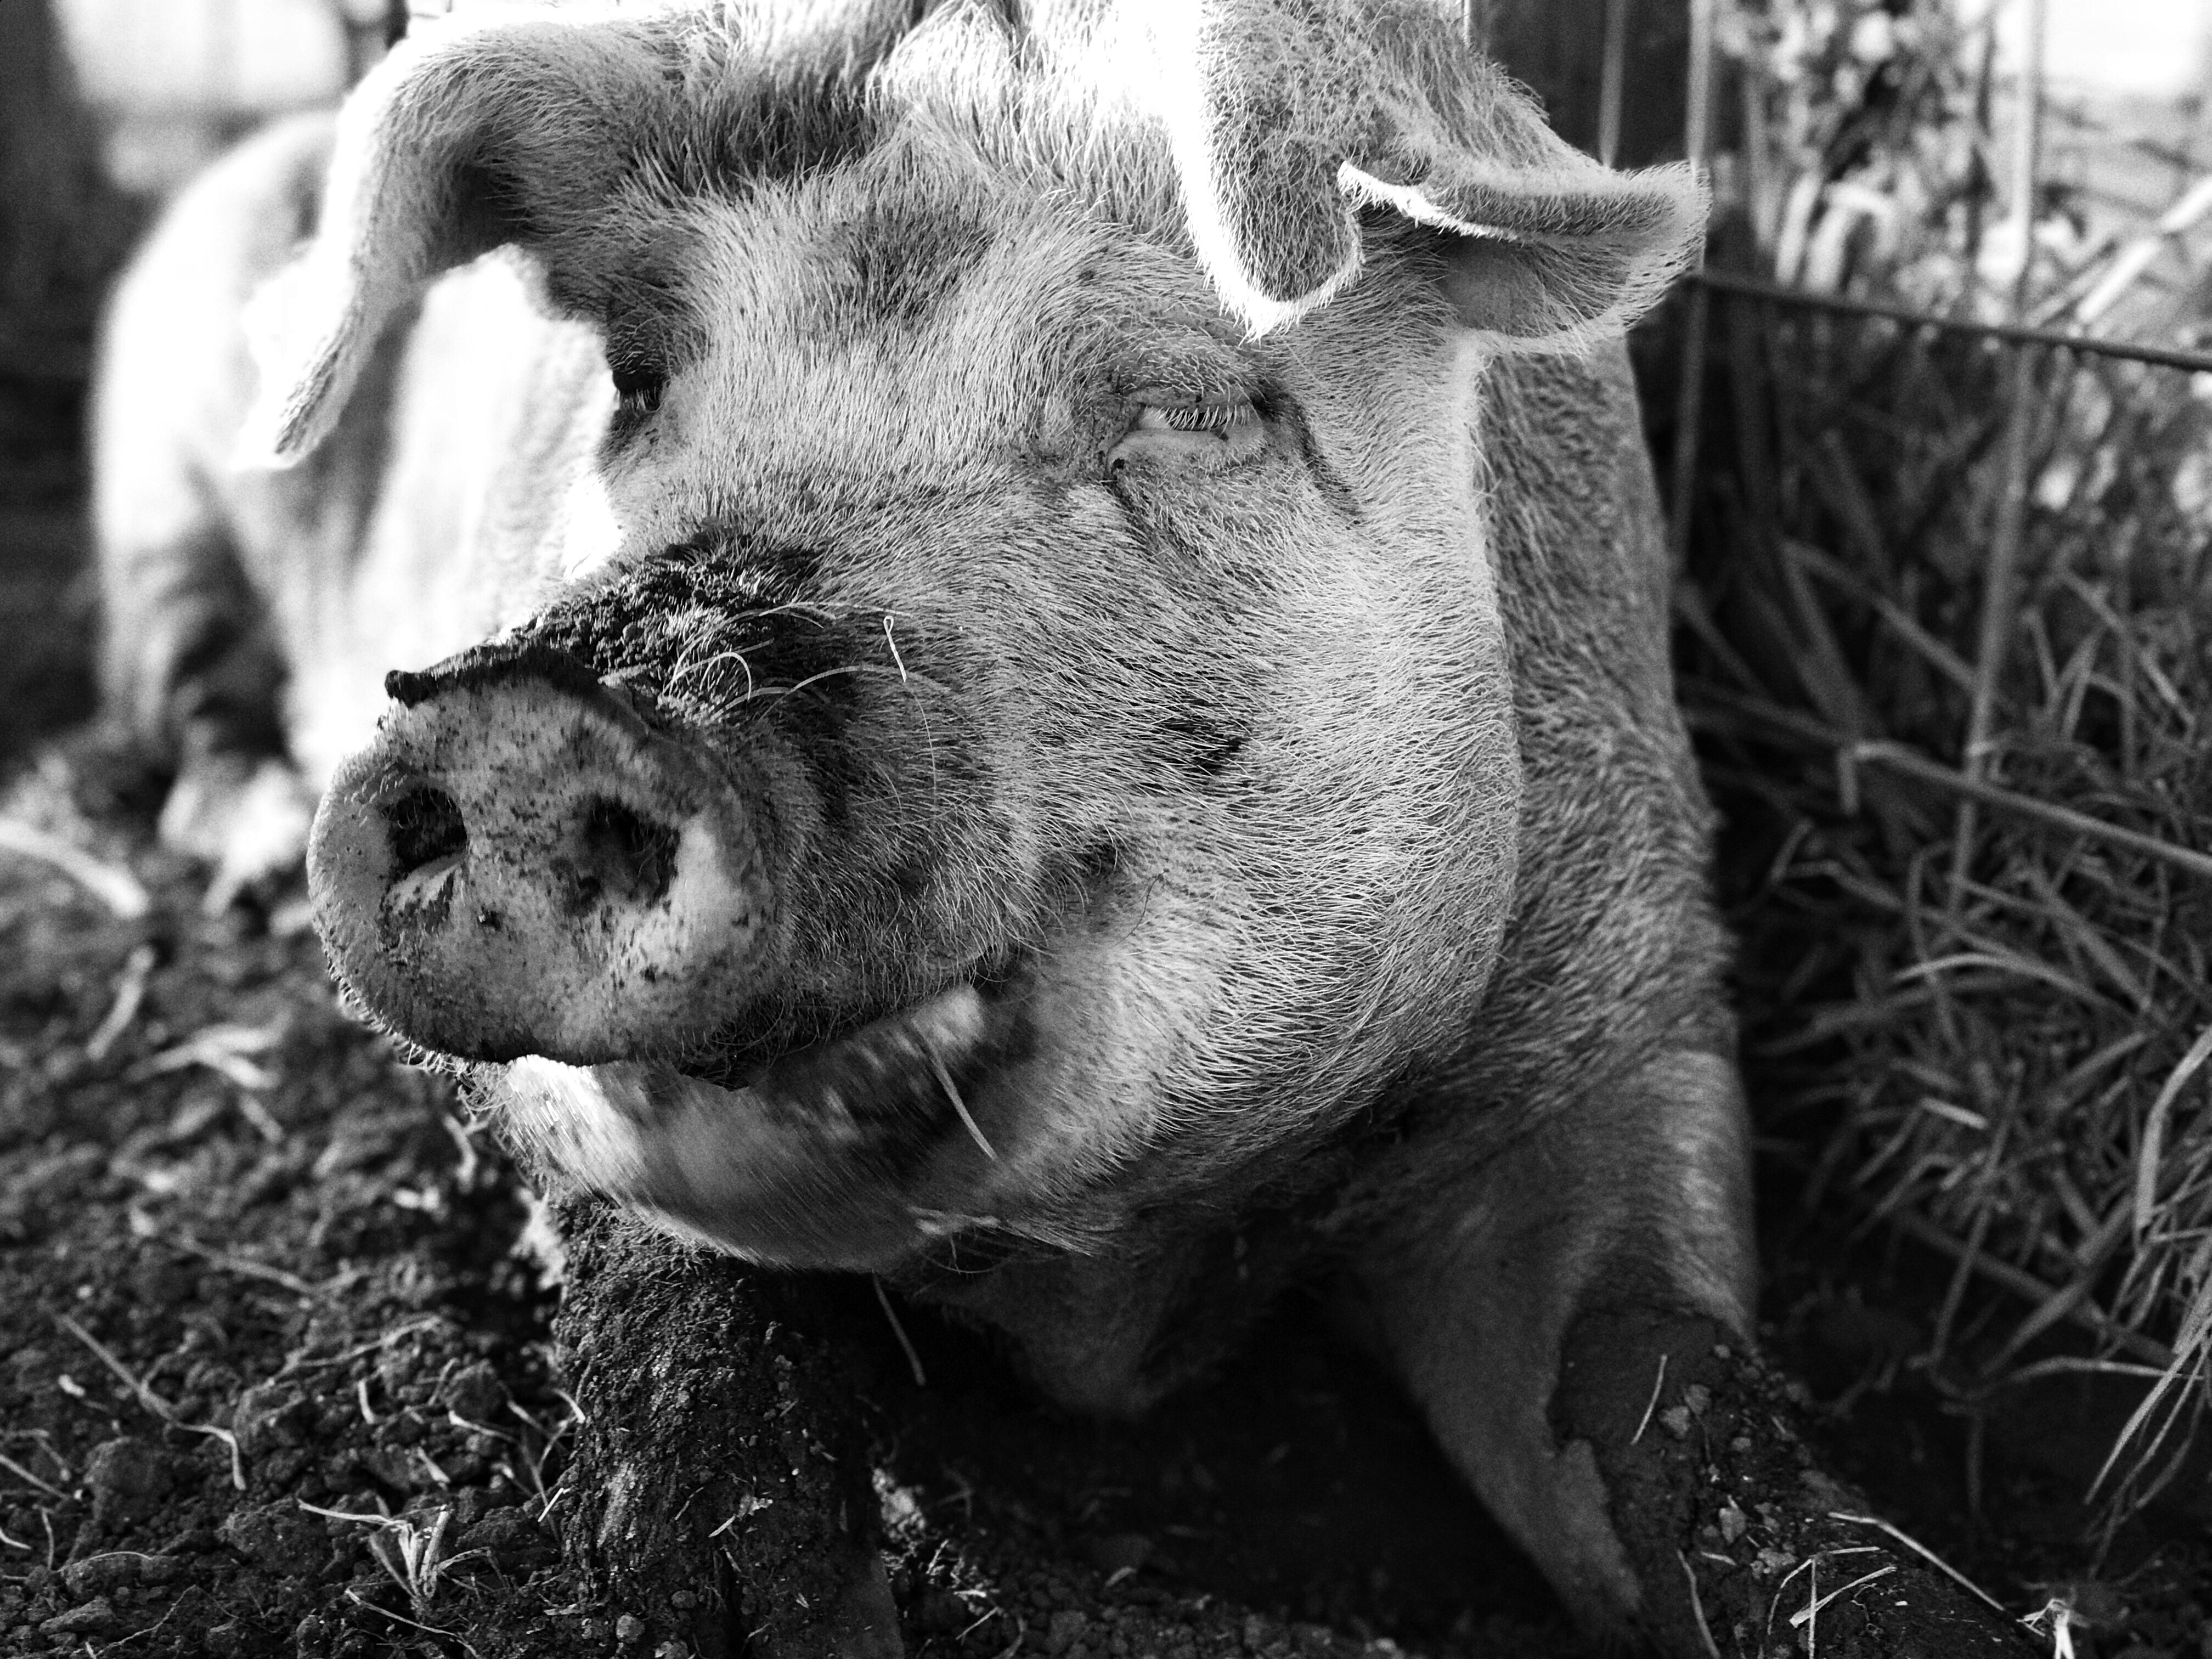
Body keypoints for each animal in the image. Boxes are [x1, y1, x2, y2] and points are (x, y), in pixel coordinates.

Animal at [92, 2, 2037, 1653]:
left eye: (1184, 404)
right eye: (642, 380)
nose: (533, 709)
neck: (1118, 1264)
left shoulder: (1628, 1001)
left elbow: (1655, 1376)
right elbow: (670, 1281)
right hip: (152, 473)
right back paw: (250, 850)